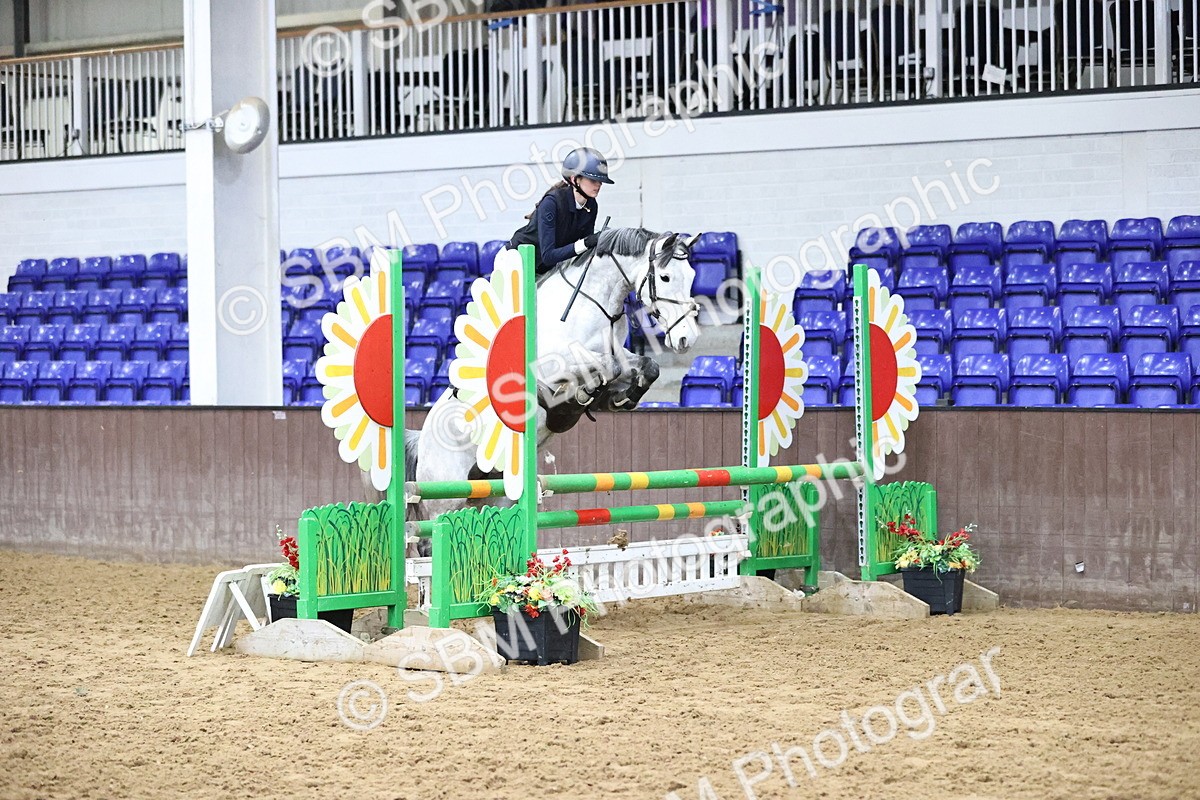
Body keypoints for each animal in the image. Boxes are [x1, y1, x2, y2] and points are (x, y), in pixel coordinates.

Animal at [403, 227, 701, 553]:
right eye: (665, 277)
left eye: (691, 274)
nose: (687, 338)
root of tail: (421, 441)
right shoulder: (555, 365)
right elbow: (606, 367)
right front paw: (581, 397)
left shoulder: (621, 356)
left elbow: (646, 367)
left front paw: (619, 398)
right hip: (443, 499)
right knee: (428, 540)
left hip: (494, 493)